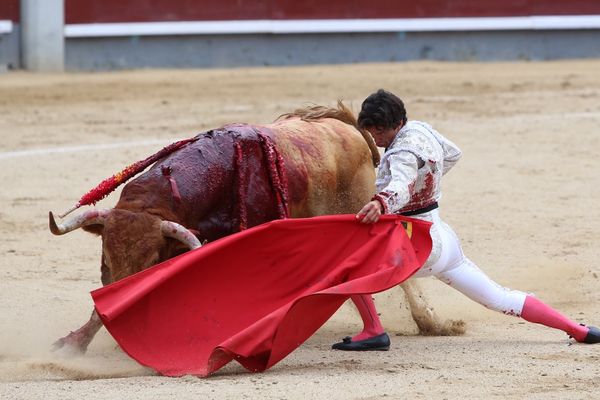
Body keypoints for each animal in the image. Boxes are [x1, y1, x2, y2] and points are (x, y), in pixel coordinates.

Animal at [49, 104, 460, 356]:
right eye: (105, 258)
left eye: (151, 259)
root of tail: (348, 128)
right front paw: (73, 344)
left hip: (360, 206)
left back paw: (428, 321)